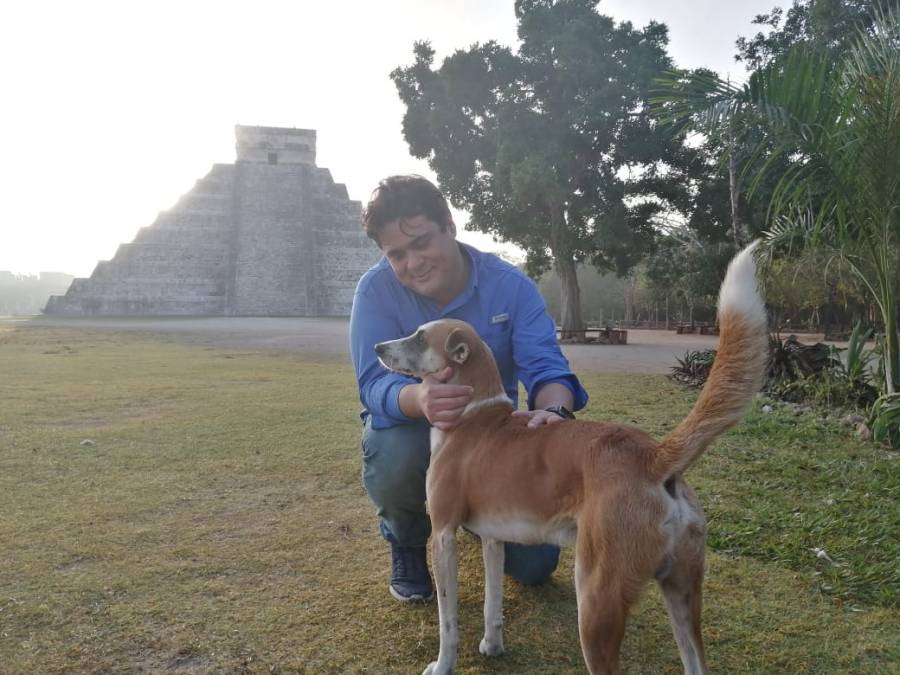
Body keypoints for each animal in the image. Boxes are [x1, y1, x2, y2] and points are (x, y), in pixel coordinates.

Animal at [376, 244, 768, 675]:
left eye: (419, 336)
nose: (377, 348)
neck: (473, 415)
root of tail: (650, 455)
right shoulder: (493, 539)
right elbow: (492, 603)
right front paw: (492, 645)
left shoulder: (443, 534)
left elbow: (448, 623)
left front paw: (443, 664)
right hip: (682, 591)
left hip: (597, 601)